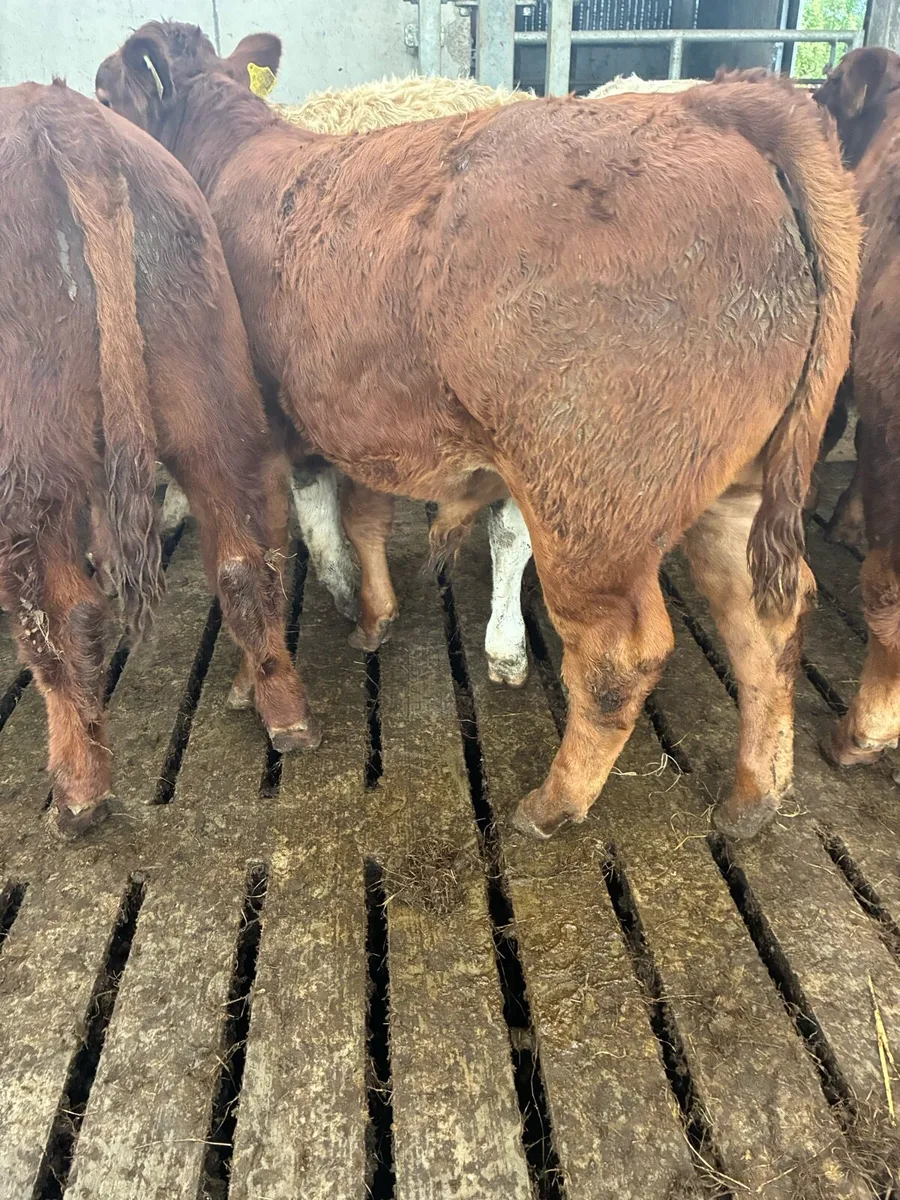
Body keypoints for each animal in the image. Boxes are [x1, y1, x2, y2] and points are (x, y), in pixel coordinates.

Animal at [0, 80, 318, 838]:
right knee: (244, 559)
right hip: (207, 391)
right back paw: (284, 714)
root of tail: (59, 115)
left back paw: (80, 789)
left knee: (55, 616)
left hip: (27, 455)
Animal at [97, 25, 859, 840]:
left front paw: (256, 677)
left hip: (589, 504)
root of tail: (707, 105)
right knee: (765, 623)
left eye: (105, 95)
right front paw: (372, 615)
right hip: (739, 488)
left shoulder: (249, 433)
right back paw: (752, 796)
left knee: (619, 657)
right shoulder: (359, 417)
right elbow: (361, 519)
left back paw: (554, 804)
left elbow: (258, 556)